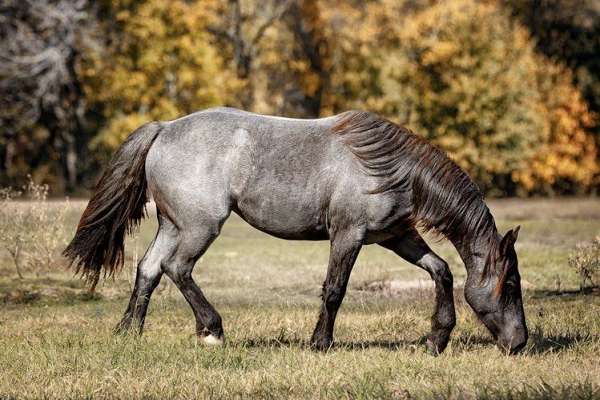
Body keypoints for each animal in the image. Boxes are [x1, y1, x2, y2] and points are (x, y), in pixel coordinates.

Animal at [63, 106, 528, 354]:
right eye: (509, 286)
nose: (520, 343)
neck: (388, 169)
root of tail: (163, 129)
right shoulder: (349, 234)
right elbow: (335, 289)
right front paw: (320, 343)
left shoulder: (396, 236)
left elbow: (441, 270)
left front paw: (437, 339)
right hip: (199, 227)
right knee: (177, 269)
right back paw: (212, 329)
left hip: (173, 225)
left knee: (149, 269)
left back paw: (130, 331)